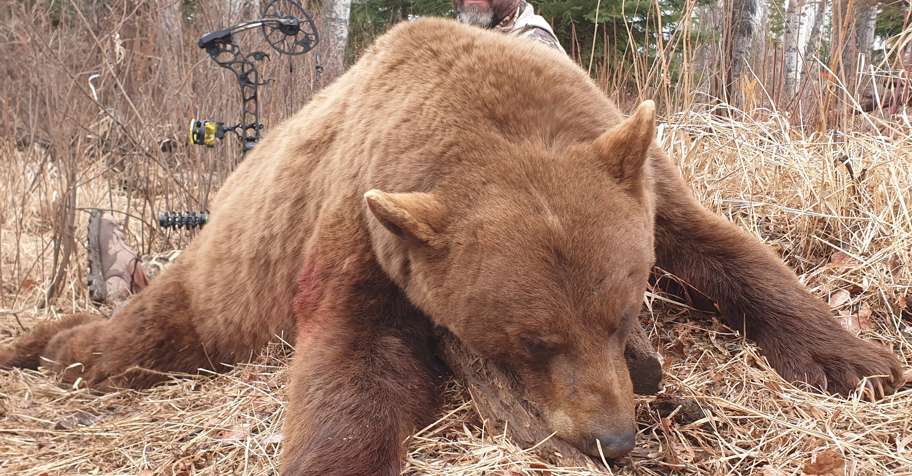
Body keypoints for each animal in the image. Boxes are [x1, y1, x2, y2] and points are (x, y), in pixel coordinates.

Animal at [0, 17, 904, 475]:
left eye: (623, 315)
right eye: (533, 340)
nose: (612, 438)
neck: (480, 111)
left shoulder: (630, 163)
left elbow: (726, 249)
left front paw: (859, 361)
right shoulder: (370, 221)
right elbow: (354, 365)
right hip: (225, 278)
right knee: (152, 328)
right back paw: (55, 348)